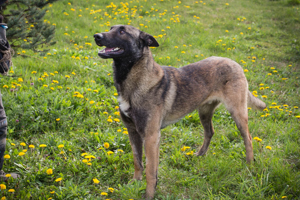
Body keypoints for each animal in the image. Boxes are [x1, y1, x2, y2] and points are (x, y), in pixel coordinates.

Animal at [94, 25, 268, 199]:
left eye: (122, 31)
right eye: (111, 28)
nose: (96, 36)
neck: (135, 81)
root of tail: (235, 63)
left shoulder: (151, 137)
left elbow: (150, 171)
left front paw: (149, 194)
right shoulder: (132, 132)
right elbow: (137, 161)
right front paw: (135, 183)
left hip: (237, 113)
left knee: (248, 138)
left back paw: (249, 164)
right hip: (204, 112)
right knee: (210, 132)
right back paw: (200, 155)